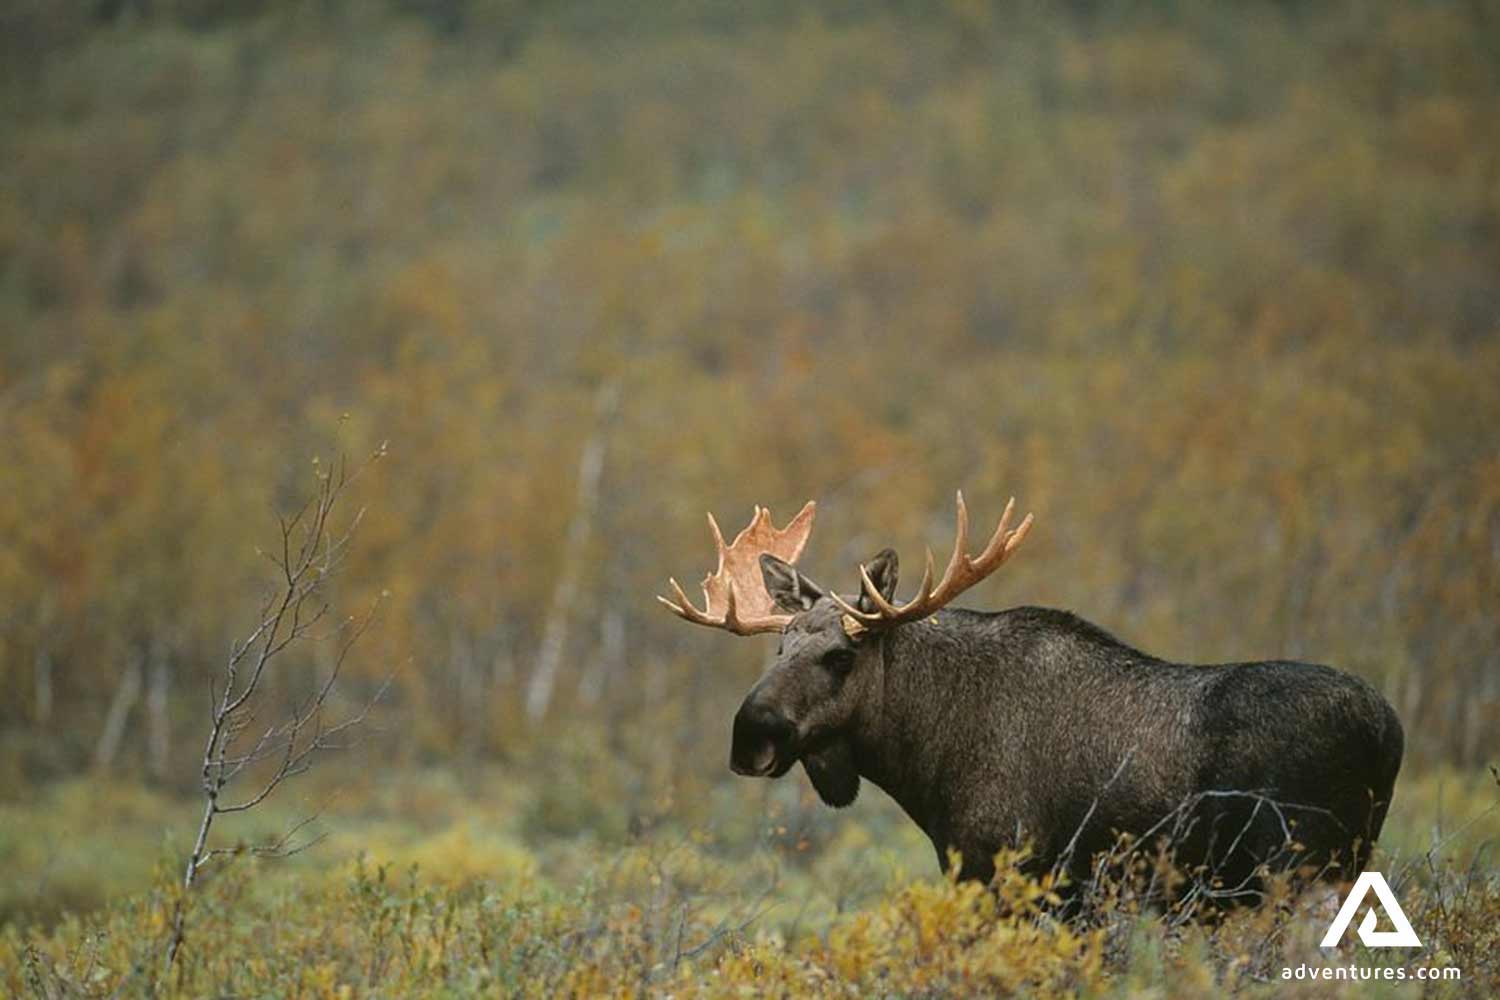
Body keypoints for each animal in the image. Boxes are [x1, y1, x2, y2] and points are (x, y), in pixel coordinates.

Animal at [659, 495, 1404, 906]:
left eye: (840, 656)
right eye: (778, 649)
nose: (749, 735)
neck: (922, 758)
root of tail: (1389, 728)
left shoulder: (1007, 869)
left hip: (1297, 867)